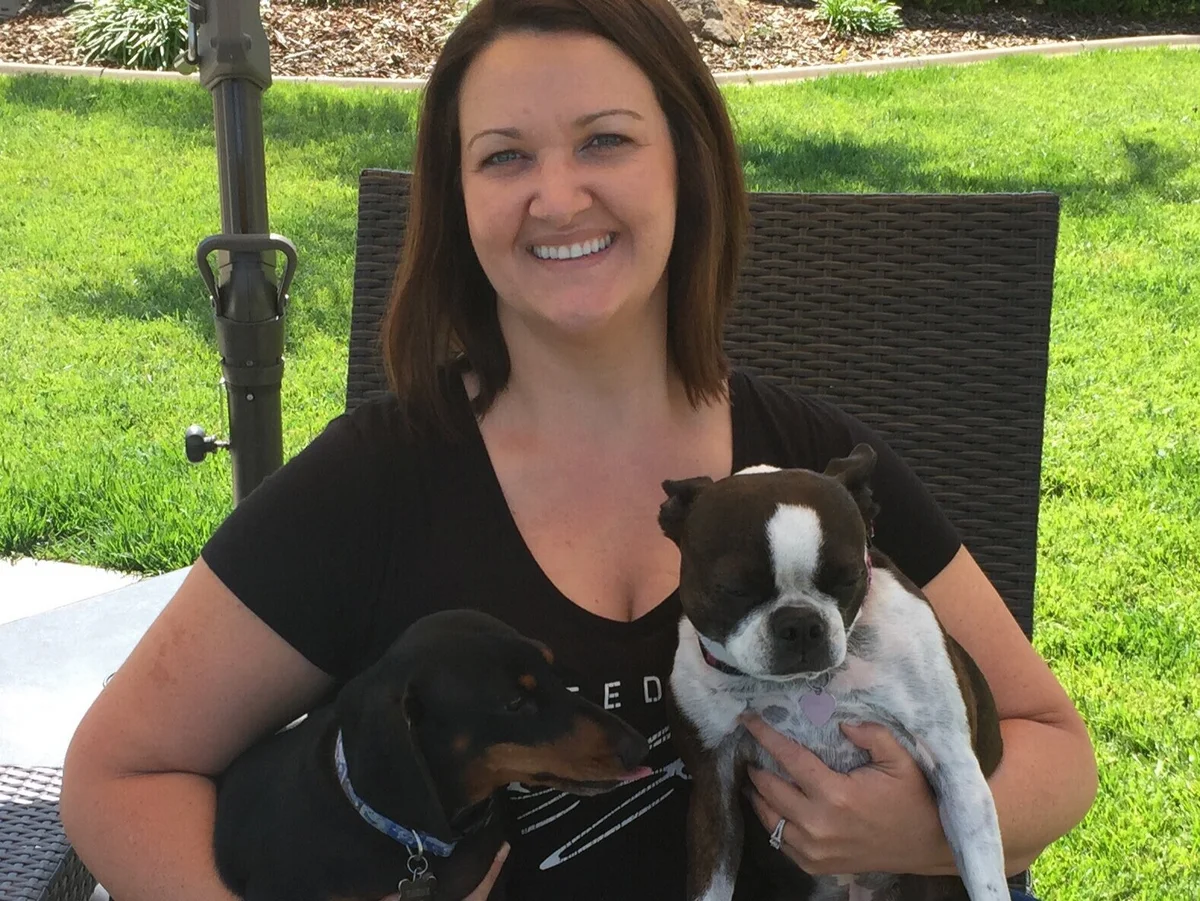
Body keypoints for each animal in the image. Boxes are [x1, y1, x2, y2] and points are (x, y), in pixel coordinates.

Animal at [658, 444, 1006, 901]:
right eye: (733, 590)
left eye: (849, 578)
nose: (800, 623)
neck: (803, 686)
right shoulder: (713, 788)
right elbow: (711, 884)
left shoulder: (955, 769)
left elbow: (987, 879)